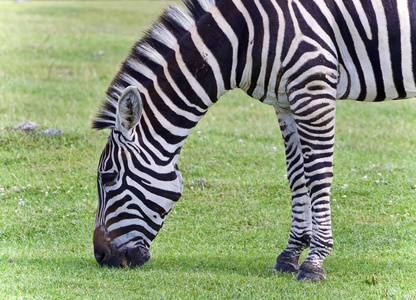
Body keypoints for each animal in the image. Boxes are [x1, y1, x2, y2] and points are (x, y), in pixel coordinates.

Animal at [91, 0, 416, 282]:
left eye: (108, 177)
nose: (100, 256)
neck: (244, 37)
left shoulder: (313, 88)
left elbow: (317, 175)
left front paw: (314, 263)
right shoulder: (285, 102)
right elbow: (297, 176)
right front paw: (289, 256)